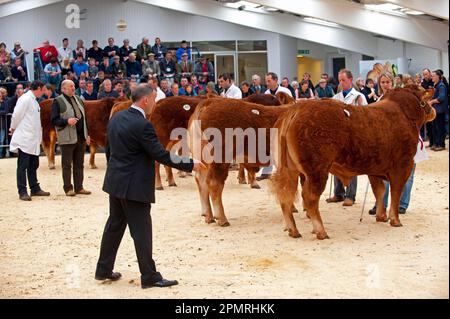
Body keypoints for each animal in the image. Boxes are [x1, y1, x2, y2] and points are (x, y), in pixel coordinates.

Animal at [268, 85, 434, 240]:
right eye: (425, 101)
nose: (433, 111)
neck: (404, 113)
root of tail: (296, 109)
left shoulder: (374, 169)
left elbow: (379, 191)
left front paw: (381, 216)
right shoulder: (402, 166)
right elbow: (395, 193)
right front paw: (395, 220)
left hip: (290, 170)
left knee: (285, 197)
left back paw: (293, 230)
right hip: (316, 172)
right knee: (309, 197)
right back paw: (320, 231)